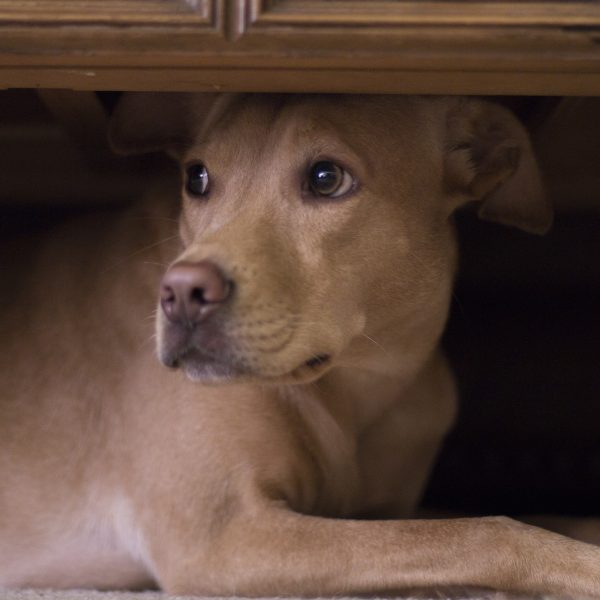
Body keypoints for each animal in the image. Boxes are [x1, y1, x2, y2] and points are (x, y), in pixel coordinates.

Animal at [1, 94, 600, 596]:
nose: (181, 295)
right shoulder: (224, 539)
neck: (360, 381)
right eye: (197, 178)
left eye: (326, 177)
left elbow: (496, 520)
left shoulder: (374, 510)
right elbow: (483, 531)